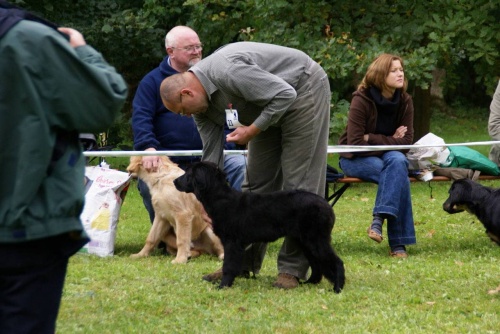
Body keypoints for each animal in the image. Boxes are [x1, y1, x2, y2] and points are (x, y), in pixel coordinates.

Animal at [174, 162, 346, 292]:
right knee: (317, 264)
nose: (175, 182)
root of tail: (326, 206)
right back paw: (310, 283)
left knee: (336, 261)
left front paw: (223, 286)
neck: (221, 199)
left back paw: (337, 288)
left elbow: (228, 266)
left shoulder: (232, 243)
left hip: (316, 239)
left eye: (189, 173)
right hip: (306, 241)